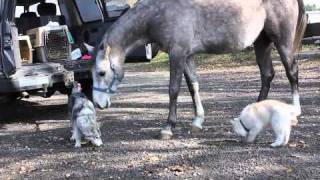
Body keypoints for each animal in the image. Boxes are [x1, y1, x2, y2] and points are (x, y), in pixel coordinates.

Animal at [91, 0, 306, 139]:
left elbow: (173, 90)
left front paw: (168, 127)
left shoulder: (177, 55)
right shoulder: (187, 56)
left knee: (291, 72)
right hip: (262, 42)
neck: (159, 12)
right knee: (267, 75)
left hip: (282, 42)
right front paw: (197, 121)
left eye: (101, 73)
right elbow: (193, 86)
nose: (99, 104)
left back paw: (295, 112)